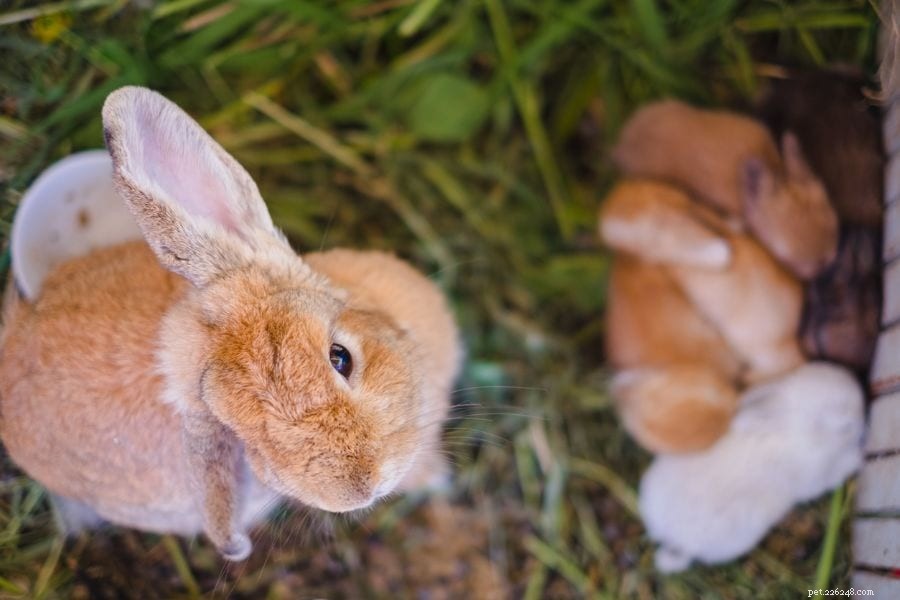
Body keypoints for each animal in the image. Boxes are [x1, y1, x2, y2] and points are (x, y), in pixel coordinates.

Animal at [639, 362, 865, 573]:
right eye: (818, 422)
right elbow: (838, 470)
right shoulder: (815, 478)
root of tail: (673, 538)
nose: (857, 411)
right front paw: (858, 457)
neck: (792, 435)